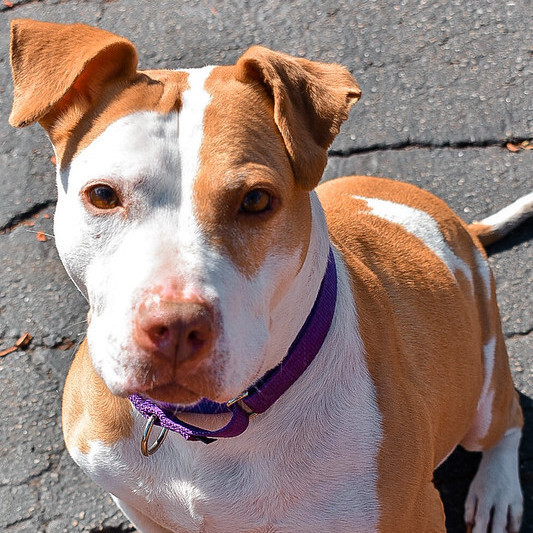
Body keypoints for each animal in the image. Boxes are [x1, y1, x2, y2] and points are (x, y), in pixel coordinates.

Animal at [9, 18, 532, 532]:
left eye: (256, 200)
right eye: (102, 194)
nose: (174, 327)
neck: (208, 428)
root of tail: (459, 225)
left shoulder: (411, 513)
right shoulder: (138, 505)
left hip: (481, 389)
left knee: (507, 421)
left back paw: (497, 491)